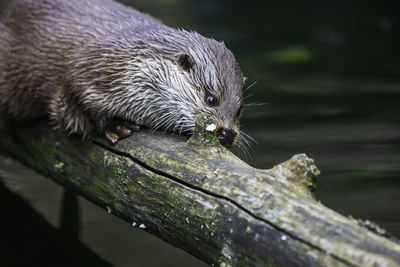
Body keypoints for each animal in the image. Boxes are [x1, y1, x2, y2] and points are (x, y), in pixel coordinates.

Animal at [0, 0, 244, 149]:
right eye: (211, 99)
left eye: (239, 110)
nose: (227, 134)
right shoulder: (83, 73)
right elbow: (73, 105)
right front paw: (116, 125)